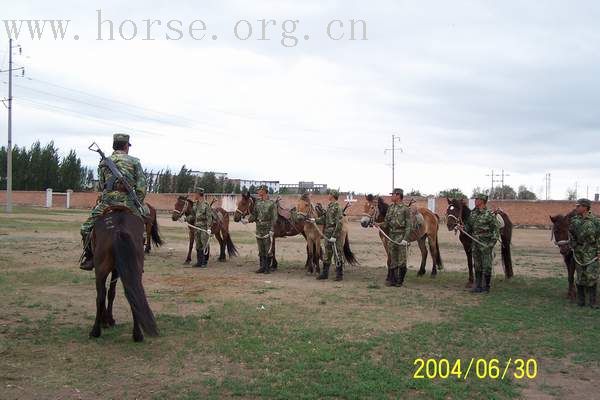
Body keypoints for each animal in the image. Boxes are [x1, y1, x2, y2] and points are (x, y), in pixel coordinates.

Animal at [89, 206, 158, 340]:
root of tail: (120, 229)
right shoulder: (117, 269)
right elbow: (111, 292)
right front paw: (109, 319)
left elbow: (107, 292)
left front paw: (107, 320)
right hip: (135, 269)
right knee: (133, 292)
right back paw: (137, 334)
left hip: (100, 269)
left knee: (100, 295)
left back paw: (95, 330)